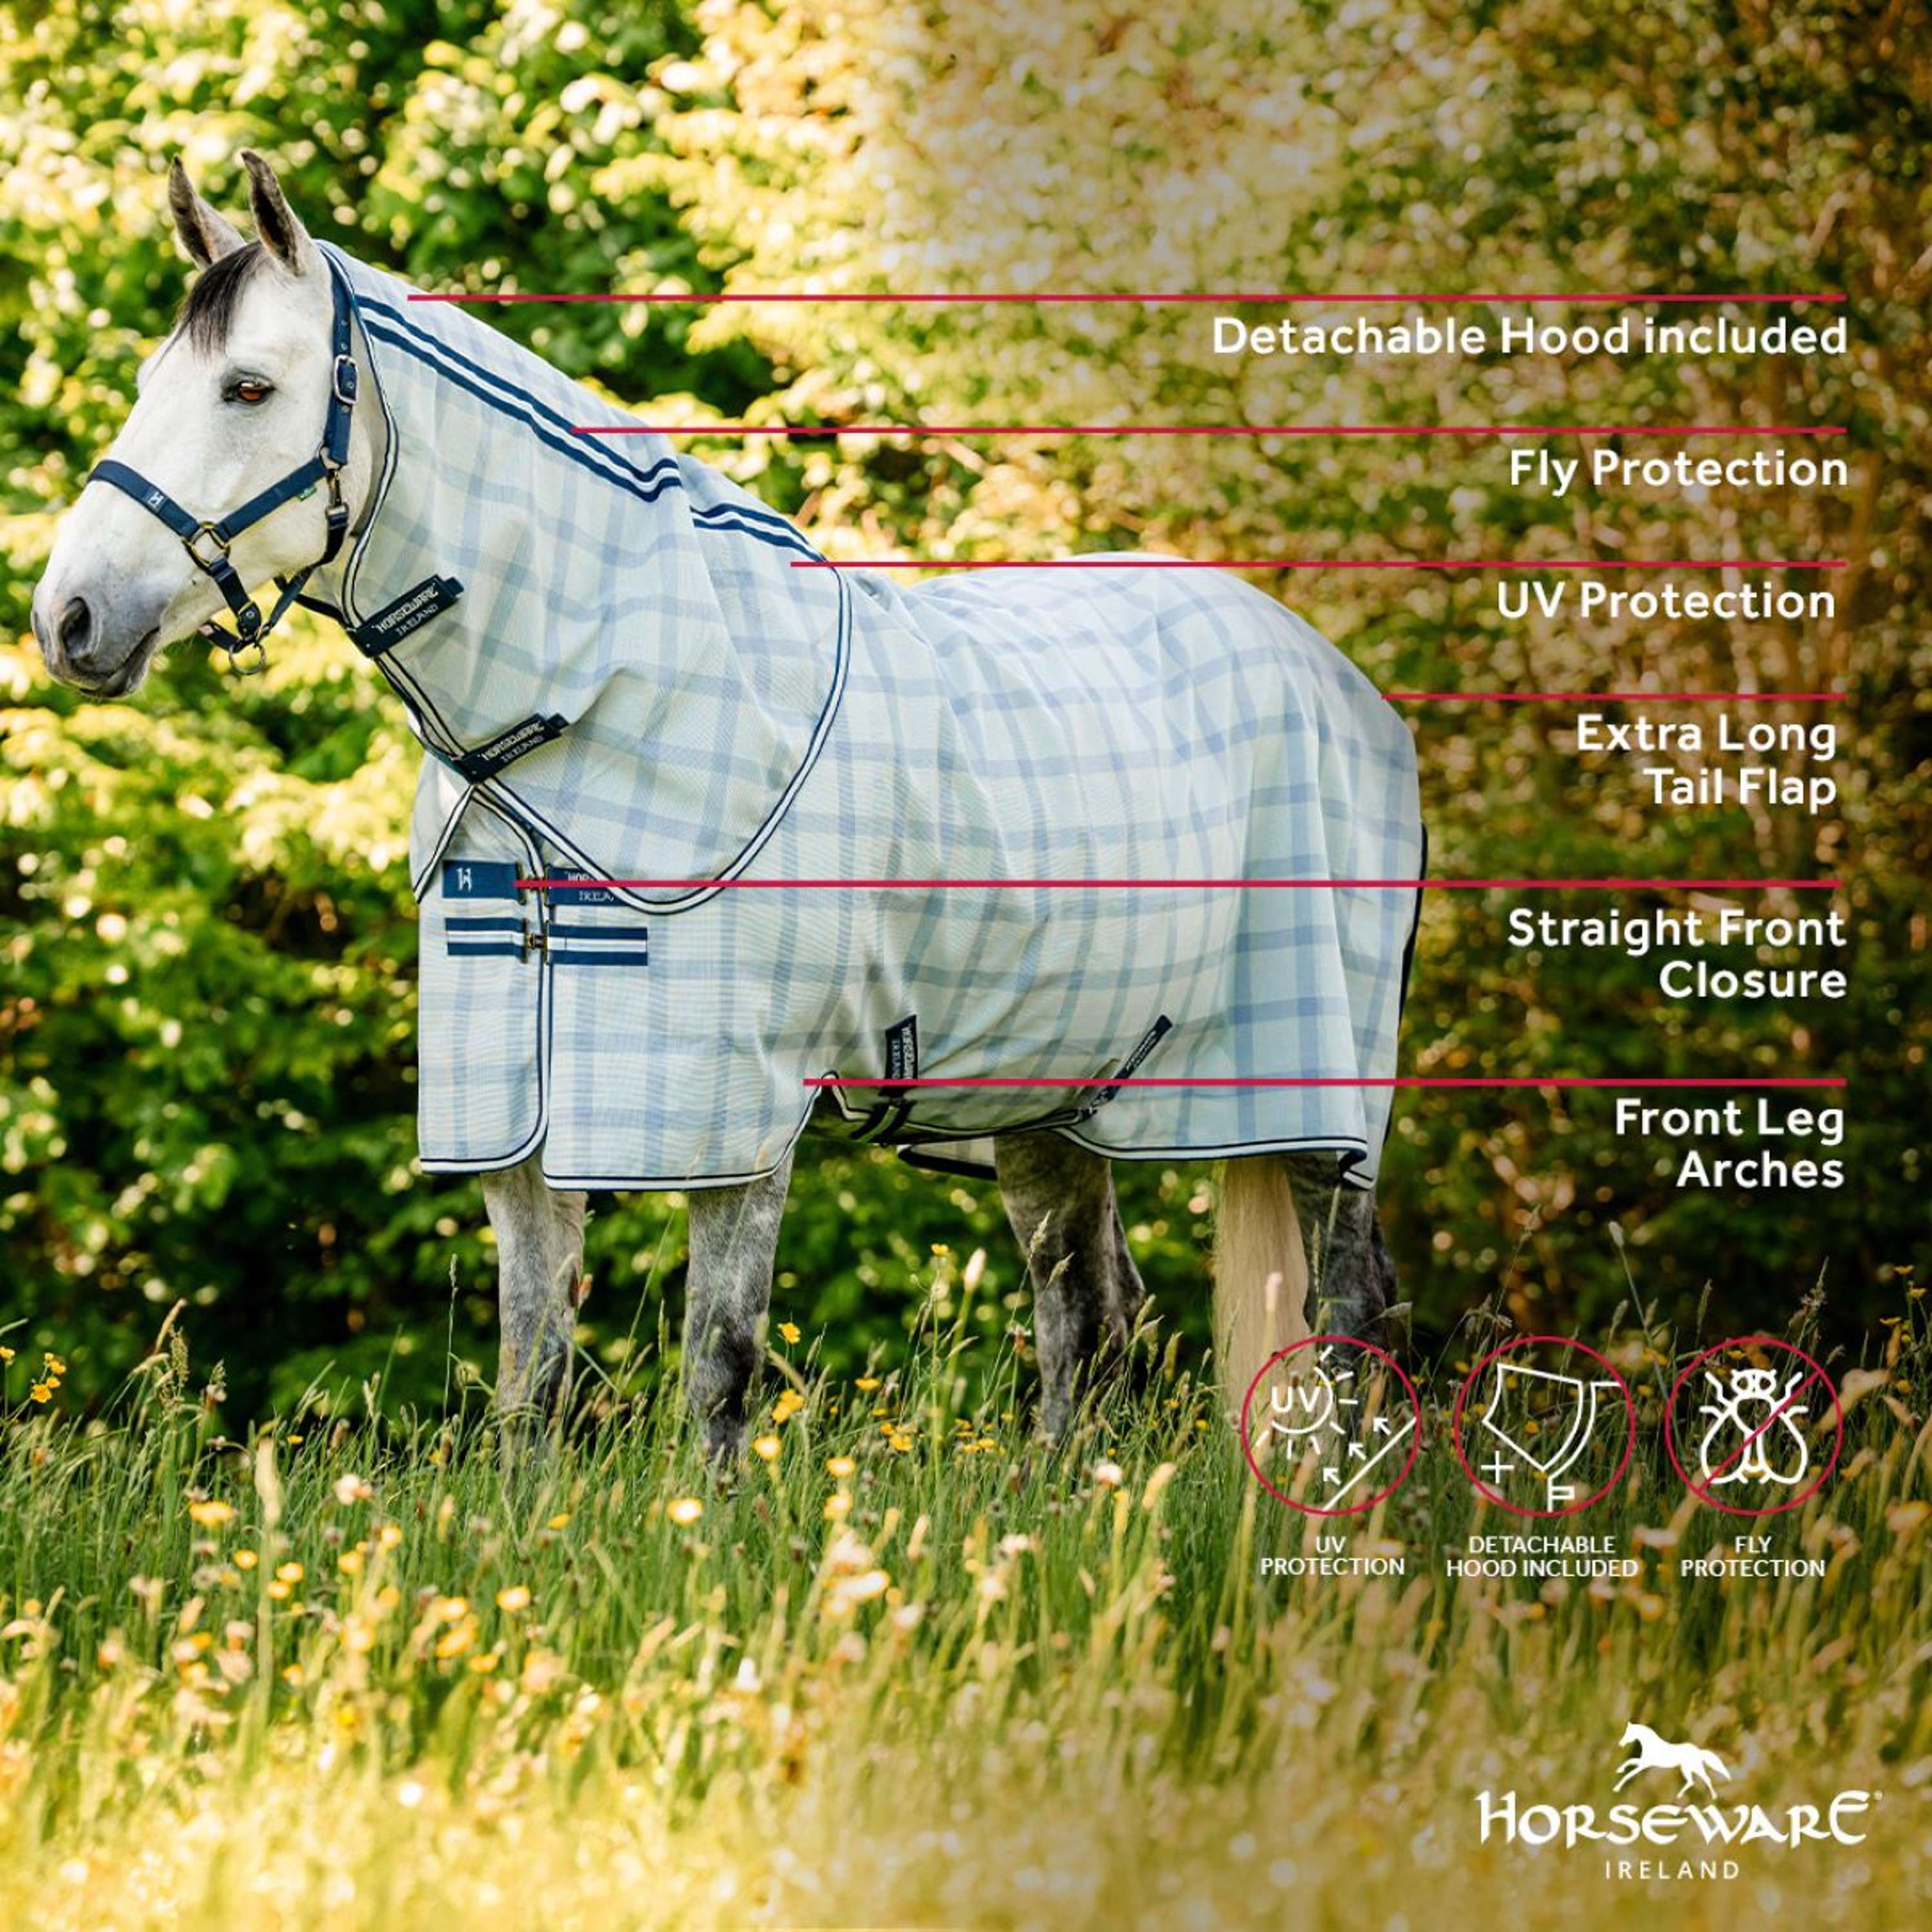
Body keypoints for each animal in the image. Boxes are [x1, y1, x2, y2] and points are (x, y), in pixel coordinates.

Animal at [30, 152, 1423, 1458]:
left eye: (248, 388)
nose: (70, 619)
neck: (589, 710)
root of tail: (1345, 685)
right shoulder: (517, 1130)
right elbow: (530, 1380)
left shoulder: (730, 1115)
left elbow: (718, 1367)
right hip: (1054, 1103)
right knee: (1089, 1316)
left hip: (1321, 1108)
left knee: (1345, 1313)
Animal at [1614, 1722, 1731, 1797]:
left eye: (1629, 1733)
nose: (1620, 1744)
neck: (1652, 1745)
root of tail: (1699, 1751)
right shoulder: (1643, 1762)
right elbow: (1629, 1761)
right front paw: (1619, 1770)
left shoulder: (1644, 1765)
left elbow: (1629, 1774)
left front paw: (1617, 1788)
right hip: (1689, 1769)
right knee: (1693, 1781)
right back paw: (1680, 1795)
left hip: (1694, 1768)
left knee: (1705, 1779)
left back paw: (1713, 1796)